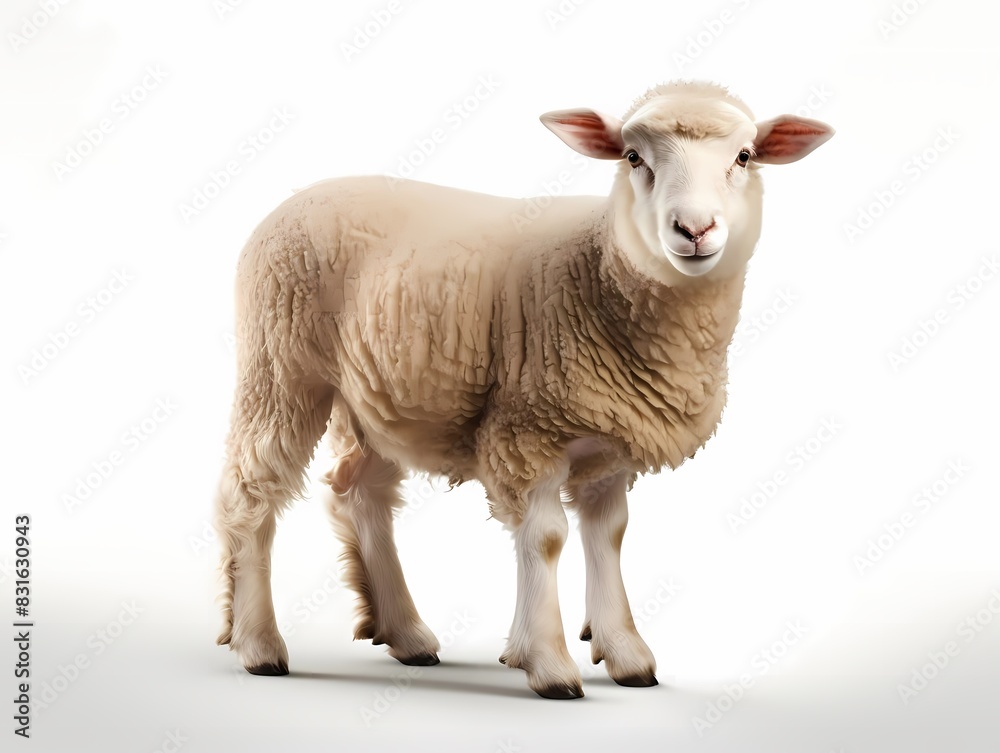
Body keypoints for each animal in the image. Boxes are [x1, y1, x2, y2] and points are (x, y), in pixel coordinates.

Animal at [215, 80, 834, 699]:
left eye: (744, 157)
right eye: (634, 158)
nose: (695, 229)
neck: (599, 269)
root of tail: (296, 198)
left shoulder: (610, 440)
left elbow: (609, 535)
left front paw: (625, 652)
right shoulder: (527, 430)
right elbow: (546, 538)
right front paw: (548, 662)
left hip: (380, 392)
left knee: (361, 492)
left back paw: (407, 634)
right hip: (281, 366)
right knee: (251, 491)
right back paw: (258, 645)